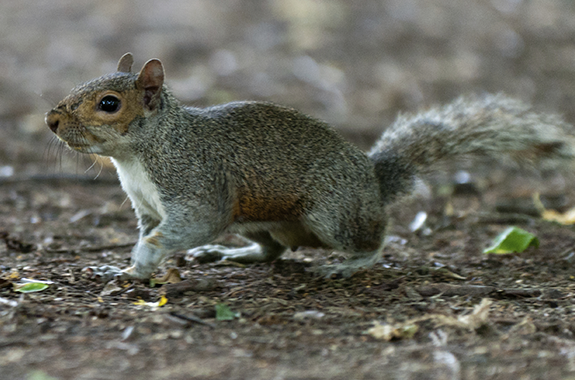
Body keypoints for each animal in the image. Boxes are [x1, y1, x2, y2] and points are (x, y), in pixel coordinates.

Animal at [44, 52, 575, 280]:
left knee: (374, 237)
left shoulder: (195, 183)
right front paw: (125, 268)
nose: (51, 120)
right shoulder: (147, 206)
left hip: (332, 213)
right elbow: (149, 231)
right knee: (273, 250)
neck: (139, 154)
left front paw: (141, 261)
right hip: (258, 217)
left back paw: (352, 263)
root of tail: (373, 183)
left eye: (109, 103)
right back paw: (232, 255)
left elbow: (183, 227)